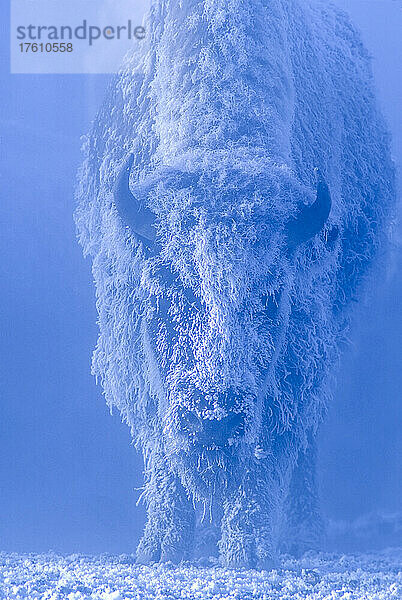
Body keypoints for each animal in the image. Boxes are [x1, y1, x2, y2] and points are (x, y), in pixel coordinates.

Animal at [75, 0, 396, 568]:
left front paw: (247, 550)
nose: (214, 419)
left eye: (270, 297)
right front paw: (163, 548)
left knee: (304, 439)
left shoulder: (298, 342)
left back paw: (301, 536)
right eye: (167, 288)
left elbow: (268, 447)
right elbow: (161, 444)